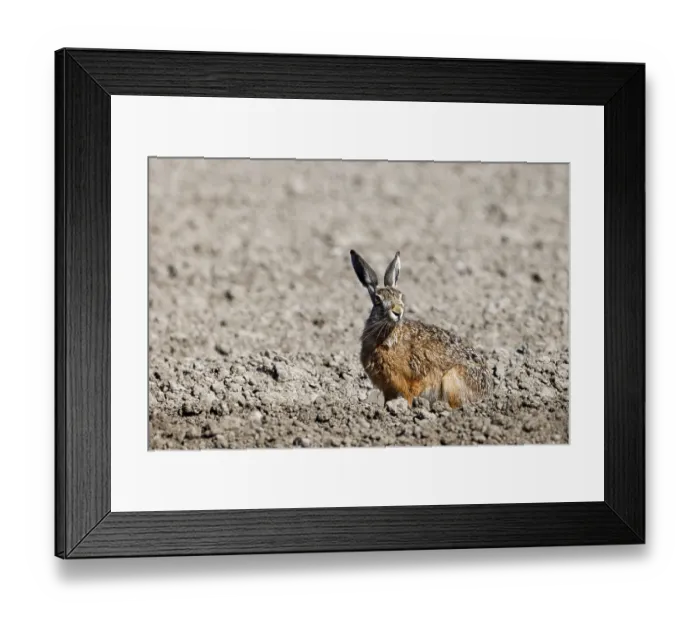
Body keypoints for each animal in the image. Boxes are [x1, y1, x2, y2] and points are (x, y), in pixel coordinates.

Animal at [350, 249, 492, 408]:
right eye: (377, 300)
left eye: (401, 296)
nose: (398, 312)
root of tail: (487, 393)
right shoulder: (387, 387)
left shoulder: (406, 380)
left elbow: (410, 393)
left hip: (452, 380)